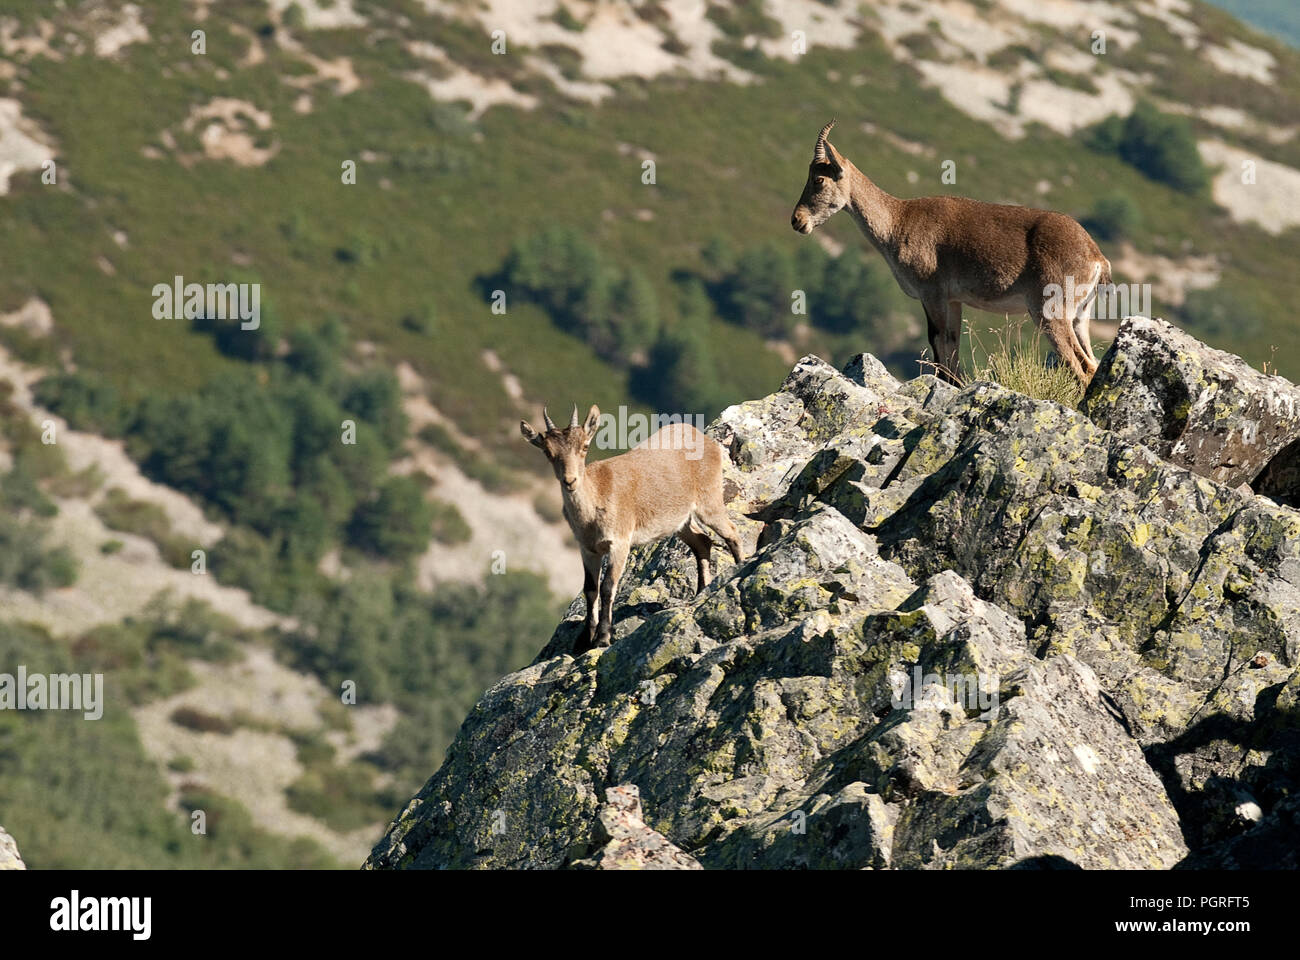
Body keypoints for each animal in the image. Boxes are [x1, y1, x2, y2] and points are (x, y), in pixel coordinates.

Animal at [521, 404, 744, 652]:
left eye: (585, 446)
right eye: (547, 452)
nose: (570, 481)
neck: (594, 504)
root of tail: (707, 441)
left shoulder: (620, 542)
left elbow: (608, 586)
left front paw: (603, 637)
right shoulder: (587, 549)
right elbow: (590, 589)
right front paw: (584, 640)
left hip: (709, 501)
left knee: (732, 532)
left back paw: (740, 568)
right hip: (680, 521)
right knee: (702, 542)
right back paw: (700, 591)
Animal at [791, 120, 1109, 384]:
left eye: (819, 179)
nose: (797, 221)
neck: (898, 221)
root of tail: (1096, 257)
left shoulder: (932, 294)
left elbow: (937, 342)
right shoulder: (954, 300)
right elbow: (952, 348)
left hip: (1051, 312)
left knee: (1081, 367)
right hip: (1080, 316)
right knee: (1092, 364)